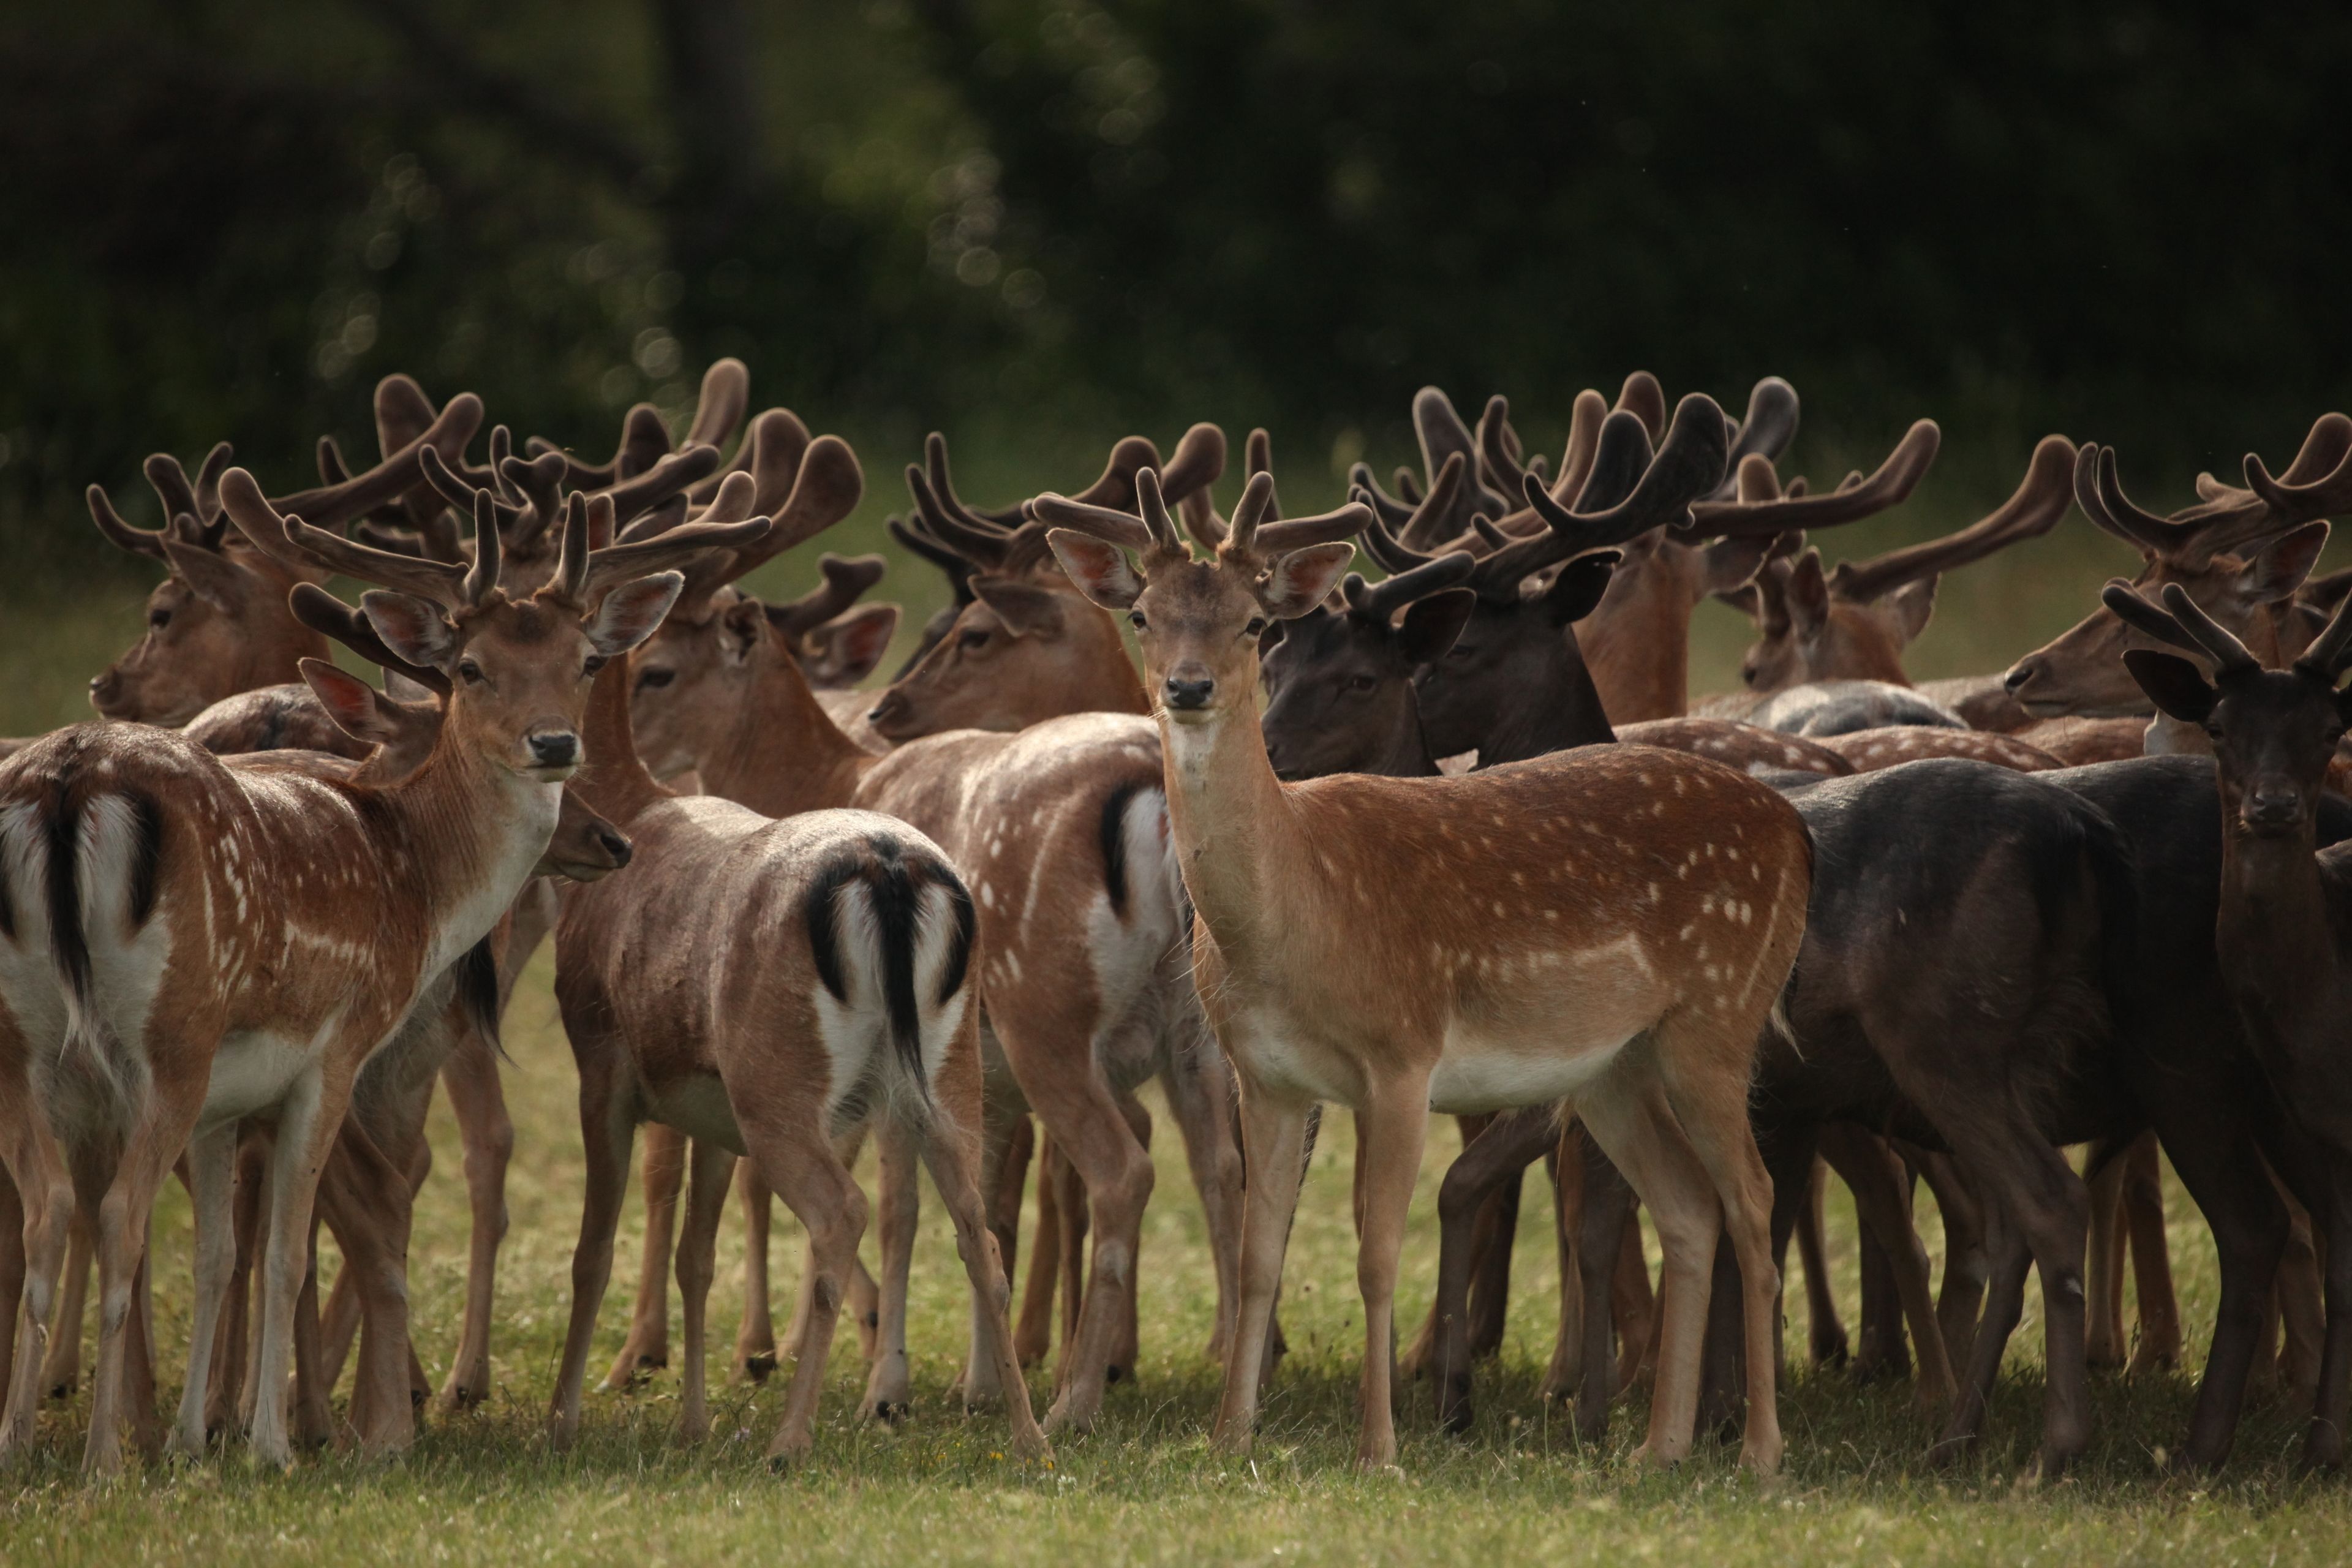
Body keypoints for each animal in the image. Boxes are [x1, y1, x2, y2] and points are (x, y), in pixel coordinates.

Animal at [0, 469, 755, 1474]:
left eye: (587, 662)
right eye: (471, 669)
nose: (558, 750)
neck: (416, 881)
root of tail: (69, 780)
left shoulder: (232, 1100)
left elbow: (219, 1252)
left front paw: (206, 1435)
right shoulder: (335, 1049)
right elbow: (283, 1246)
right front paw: (270, 1444)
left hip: (32, 1045)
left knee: (48, 1210)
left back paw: (29, 1444)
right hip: (170, 1034)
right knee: (123, 1211)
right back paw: (107, 1464)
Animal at [547, 638, 1051, 1467]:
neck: (637, 800)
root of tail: (888, 868)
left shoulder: (602, 1062)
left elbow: (594, 1250)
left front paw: (566, 1419)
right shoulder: (709, 1112)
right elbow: (695, 1252)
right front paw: (693, 1422)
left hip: (776, 1087)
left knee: (842, 1213)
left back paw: (792, 1438)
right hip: (948, 1075)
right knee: (978, 1229)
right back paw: (1028, 1435)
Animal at [1037, 393, 1816, 1474]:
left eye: (1252, 623)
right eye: (1143, 614)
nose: (1188, 687)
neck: (1300, 915)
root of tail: (1795, 831)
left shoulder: (1403, 1056)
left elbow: (1376, 1254)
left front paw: (1381, 1446)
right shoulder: (1263, 1074)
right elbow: (1260, 1249)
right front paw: (1231, 1434)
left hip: (1719, 1015)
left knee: (1751, 1202)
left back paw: (1760, 1455)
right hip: (1614, 1065)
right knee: (1690, 1210)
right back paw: (1658, 1451)